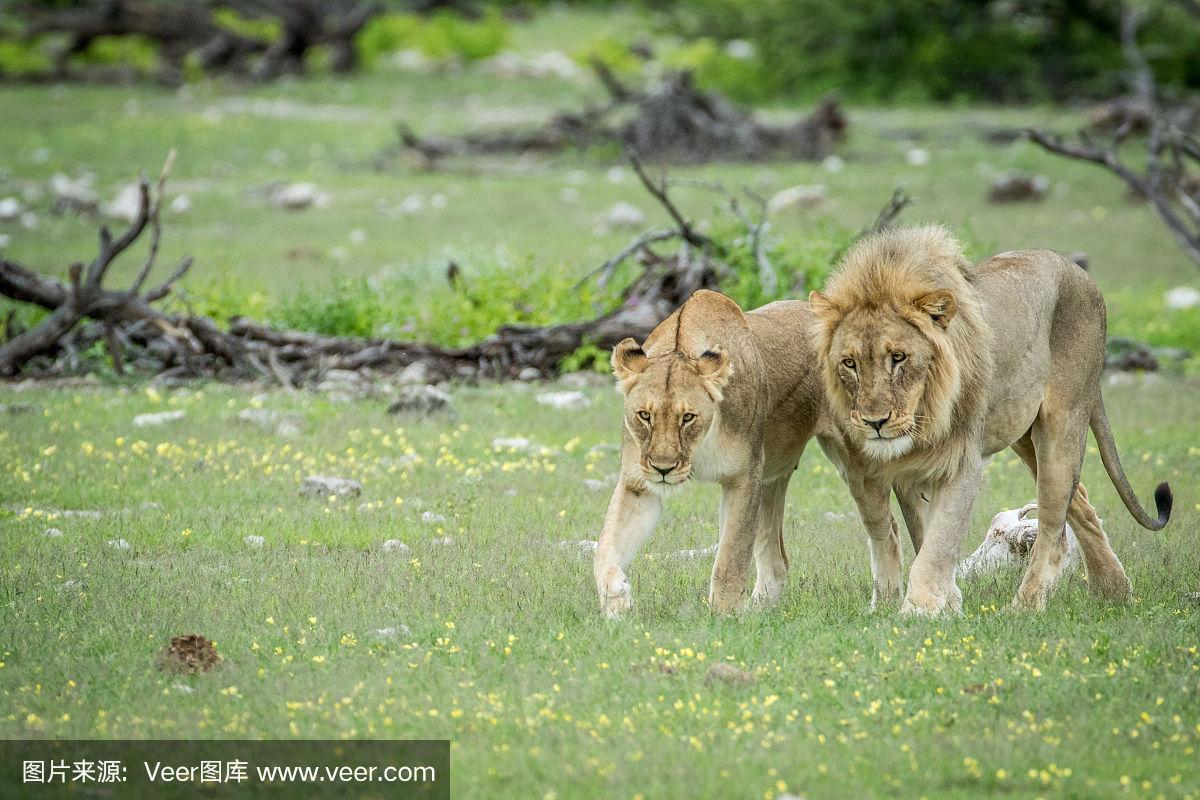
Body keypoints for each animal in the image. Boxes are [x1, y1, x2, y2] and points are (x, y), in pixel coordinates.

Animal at [592, 289, 835, 618]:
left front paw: (724, 617)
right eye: (644, 416)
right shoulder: (637, 484)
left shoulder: (745, 476)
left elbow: (730, 558)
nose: (663, 469)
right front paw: (617, 600)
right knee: (776, 561)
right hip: (772, 479)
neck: (700, 447)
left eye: (688, 417)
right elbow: (605, 547)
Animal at [811, 224, 1166, 614]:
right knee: (1081, 503)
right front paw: (948, 604)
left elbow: (937, 544)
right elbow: (925, 538)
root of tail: (1080, 273)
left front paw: (919, 611)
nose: (875, 422)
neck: (925, 415)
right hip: (1023, 435)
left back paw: (1025, 607)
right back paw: (1114, 591)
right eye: (849, 363)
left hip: (1063, 421)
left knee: (1054, 527)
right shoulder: (907, 471)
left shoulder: (962, 462)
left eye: (898, 357)